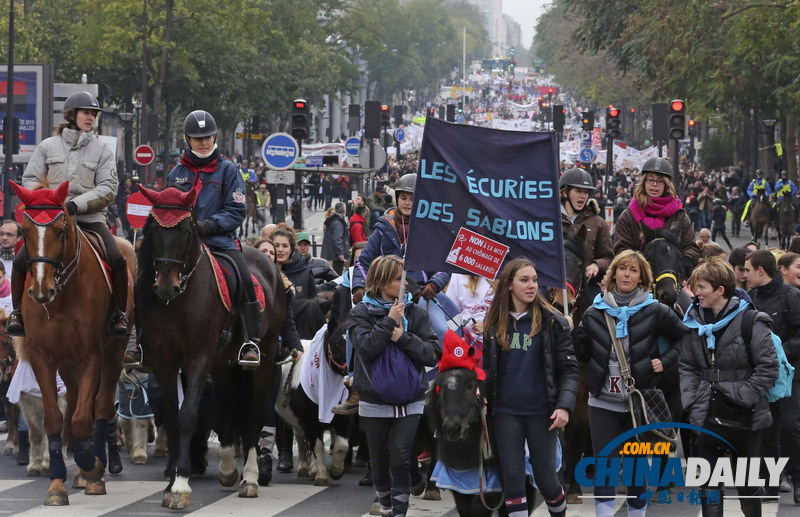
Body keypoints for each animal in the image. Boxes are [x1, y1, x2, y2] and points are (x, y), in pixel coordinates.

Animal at [9, 180, 135, 504]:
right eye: (24, 231)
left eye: (60, 231)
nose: (41, 290)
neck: (62, 296)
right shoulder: (42, 356)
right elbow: (55, 418)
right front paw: (57, 484)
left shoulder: (90, 355)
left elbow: (81, 419)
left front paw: (92, 467)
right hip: (66, 363)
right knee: (78, 399)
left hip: (113, 352)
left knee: (100, 407)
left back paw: (92, 466)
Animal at [136, 185, 286, 508]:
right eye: (153, 228)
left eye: (186, 230)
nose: (165, 286)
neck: (179, 300)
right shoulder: (164, 361)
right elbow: (172, 415)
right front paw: (172, 483)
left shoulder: (198, 357)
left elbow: (188, 415)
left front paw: (180, 485)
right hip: (222, 363)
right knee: (227, 405)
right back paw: (228, 468)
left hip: (263, 360)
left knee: (253, 415)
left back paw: (250, 478)